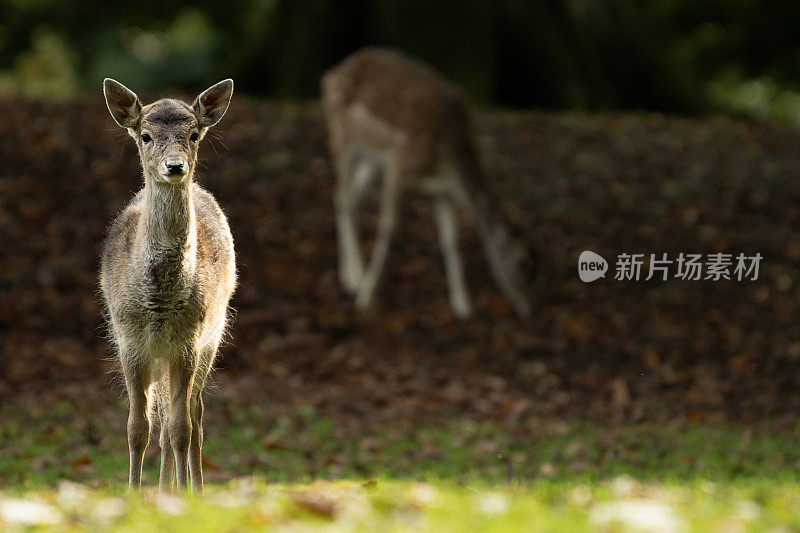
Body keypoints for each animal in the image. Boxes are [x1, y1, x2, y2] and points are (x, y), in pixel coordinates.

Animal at [101, 78, 238, 490]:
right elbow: (136, 428)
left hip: (213, 334)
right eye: (145, 135)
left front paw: (190, 493)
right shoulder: (129, 340)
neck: (159, 299)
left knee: (195, 416)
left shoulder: (188, 341)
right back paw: (164, 489)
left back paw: (187, 487)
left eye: (193, 134)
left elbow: (182, 428)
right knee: (161, 418)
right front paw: (134, 494)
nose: (175, 166)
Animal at [322, 47, 536, 318]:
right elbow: (389, 227)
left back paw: (352, 275)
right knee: (341, 194)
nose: (530, 308)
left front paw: (462, 305)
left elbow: (451, 240)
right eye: (522, 262)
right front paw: (367, 297)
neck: (444, 162)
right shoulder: (401, 160)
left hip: (372, 158)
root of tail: (332, 72)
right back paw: (355, 279)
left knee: (350, 197)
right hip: (341, 134)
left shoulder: (442, 192)